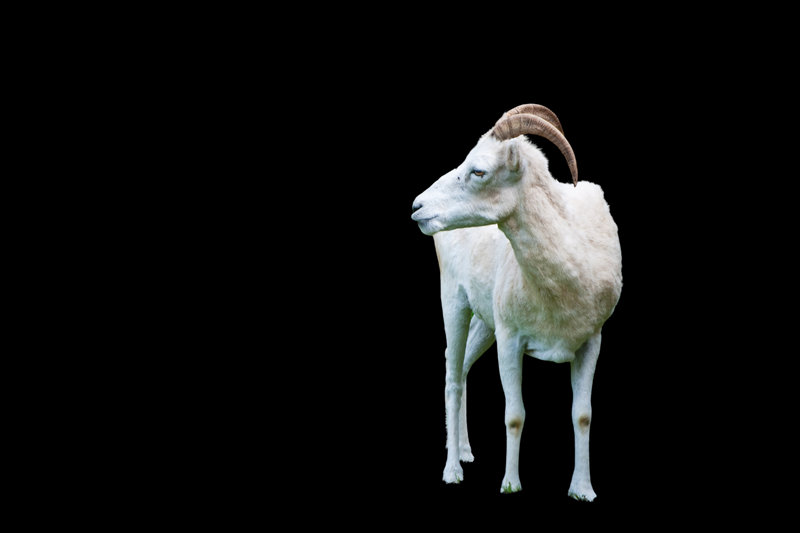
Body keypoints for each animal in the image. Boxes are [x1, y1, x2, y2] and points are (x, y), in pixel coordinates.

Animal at [410, 104, 622, 500]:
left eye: (478, 171)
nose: (418, 206)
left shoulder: (591, 342)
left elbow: (583, 414)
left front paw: (582, 490)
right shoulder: (510, 341)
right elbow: (514, 415)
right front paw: (510, 485)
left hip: (484, 323)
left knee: (464, 367)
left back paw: (466, 452)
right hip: (455, 304)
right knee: (452, 377)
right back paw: (453, 471)